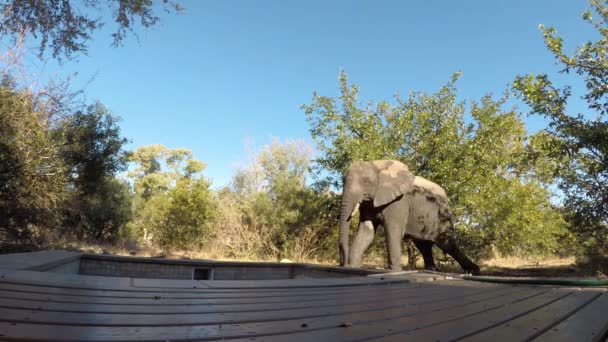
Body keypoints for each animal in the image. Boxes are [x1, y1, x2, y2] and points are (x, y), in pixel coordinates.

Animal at [338, 160, 480, 276]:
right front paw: (354, 267)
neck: (378, 164)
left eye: (365, 181)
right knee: (423, 244)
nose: (343, 264)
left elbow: (393, 231)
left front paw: (395, 271)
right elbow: (366, 231)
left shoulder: (399, 202)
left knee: (446, 243)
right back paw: (432, 269)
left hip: (441, 216)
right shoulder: (369, 203)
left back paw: (474, 270)